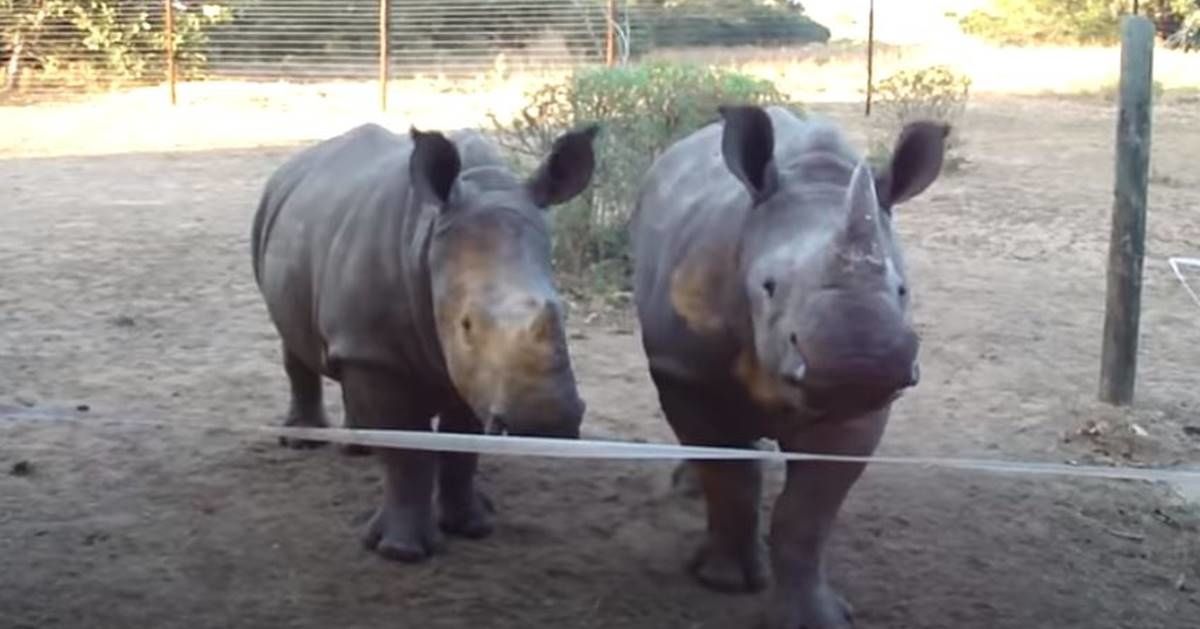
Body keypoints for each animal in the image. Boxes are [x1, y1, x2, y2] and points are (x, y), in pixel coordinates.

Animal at [251, 121, 598, 561]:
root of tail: (293, 166)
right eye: (466, 325)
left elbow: (461, 446)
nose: (546, 423)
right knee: (293, 342)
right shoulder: (380, 355)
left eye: (565, 313)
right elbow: (406, 453)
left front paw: (472, 526)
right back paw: (302, 442)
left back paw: (360, 447)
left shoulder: (473, 374)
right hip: (269, 221)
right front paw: (401, 551)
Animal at [630, 105, 948, 628]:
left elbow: (807, 512)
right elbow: (732, 479)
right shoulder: (685, 372)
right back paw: (688, 490)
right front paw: (725, 582)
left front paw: (816, 617)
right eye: (769, 286)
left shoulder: (862, 409)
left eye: (902, 289)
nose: (860, 361)